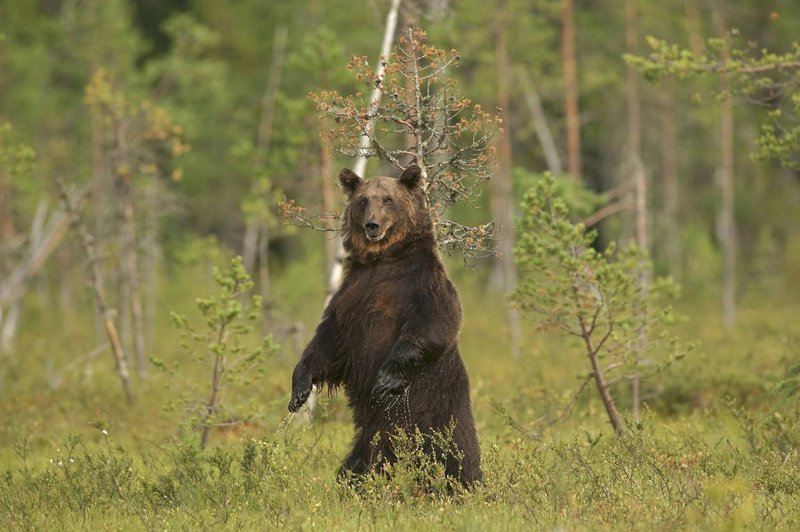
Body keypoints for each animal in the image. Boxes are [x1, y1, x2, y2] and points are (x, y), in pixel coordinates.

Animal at [288, 164, 482, 488]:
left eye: (388, 200)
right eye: (364, 200)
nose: (372, 225)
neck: (383, 258)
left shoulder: (422, 284)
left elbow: (437, 321)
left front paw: (386, 378)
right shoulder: (351, 293)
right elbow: (329, 341)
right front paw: (300, 389)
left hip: (438, 408)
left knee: (453, 451)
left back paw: (464, 484)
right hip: (372, 432)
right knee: (362, 461)